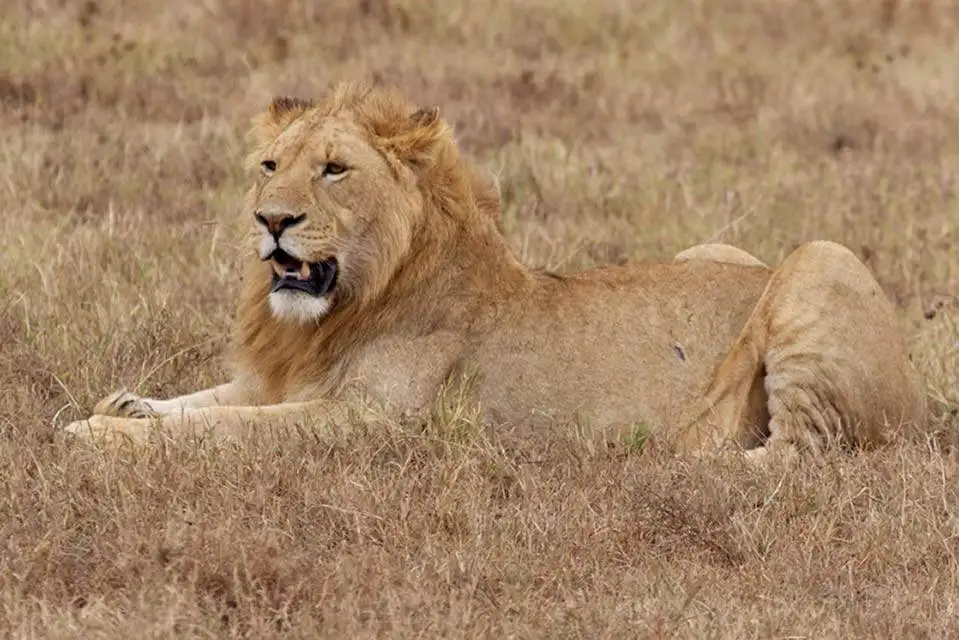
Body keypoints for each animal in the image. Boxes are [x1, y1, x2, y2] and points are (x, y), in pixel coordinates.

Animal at [63, 81, 928, 461]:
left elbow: (225, 425)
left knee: (795, 457)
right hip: (715, 248)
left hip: (821, 259)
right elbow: (209, 399)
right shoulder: (282, 378)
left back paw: (664, 462)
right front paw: (126, 403)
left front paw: (97, 432)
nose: (271, 221)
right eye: (269, 166)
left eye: (334, 170)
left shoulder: (372, 420)